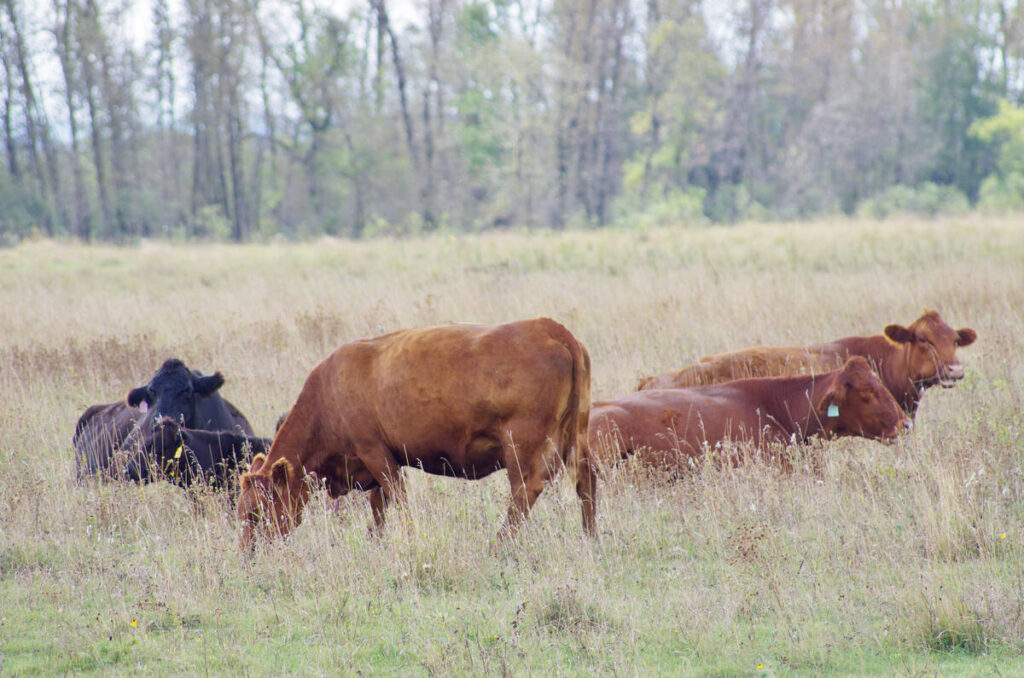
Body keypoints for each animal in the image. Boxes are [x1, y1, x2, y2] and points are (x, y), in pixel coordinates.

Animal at [236, 317, 595, 549]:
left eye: (255, 513)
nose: (248, 555)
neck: (328, 392)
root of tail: (550, 328)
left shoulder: (376, 453)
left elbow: (399, 501)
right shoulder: (377, 466)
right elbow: (379, 508)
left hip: (522, 446)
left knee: (525, 491)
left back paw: (499, 544)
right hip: (577, 437)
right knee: (585, 481)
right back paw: (590, 536)